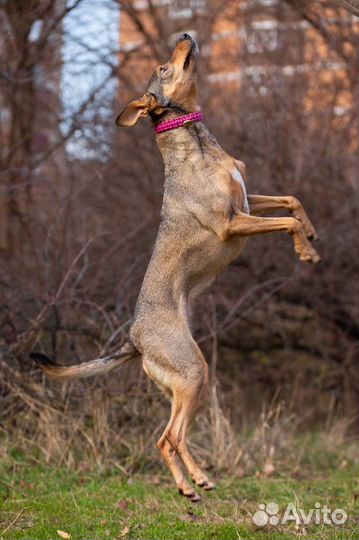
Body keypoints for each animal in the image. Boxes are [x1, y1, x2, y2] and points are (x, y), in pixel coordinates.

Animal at [31, 33, 320, 502]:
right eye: (164, 68)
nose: (185, 35)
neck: (197, 142)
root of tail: (133, 339)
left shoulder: (248, 200)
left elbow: (291, 200)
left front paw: (310, 234)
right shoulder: (232, 223)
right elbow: (287, 219)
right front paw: (305, 251)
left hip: (184, 383)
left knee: (172, 437)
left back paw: (197, 479)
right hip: (193, 371)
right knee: (167, 438)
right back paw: (189, 485)